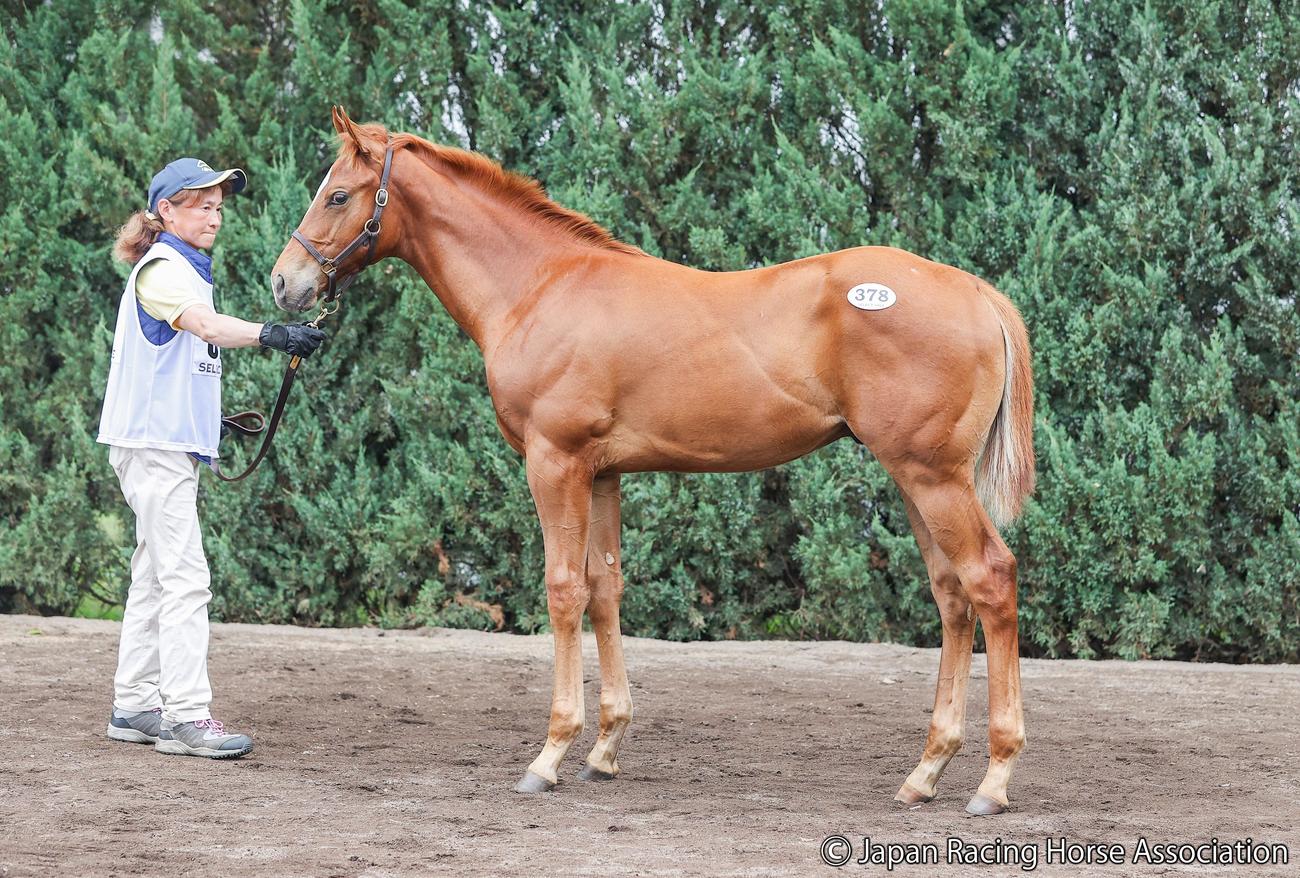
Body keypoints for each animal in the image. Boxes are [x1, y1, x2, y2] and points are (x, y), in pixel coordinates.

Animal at [271, 107, 1035, 815]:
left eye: (338, 195)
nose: (285, 284)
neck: (540, 286)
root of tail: (975, 292)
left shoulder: (555, 463)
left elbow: (562, 591)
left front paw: (550, 753)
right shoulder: (603, 473)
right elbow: (605, 589)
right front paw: (604, 749)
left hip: (931, 477)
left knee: (990, 580)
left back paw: (994, 780)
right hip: (913, 479)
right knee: (951, 595)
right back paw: (926, 772)